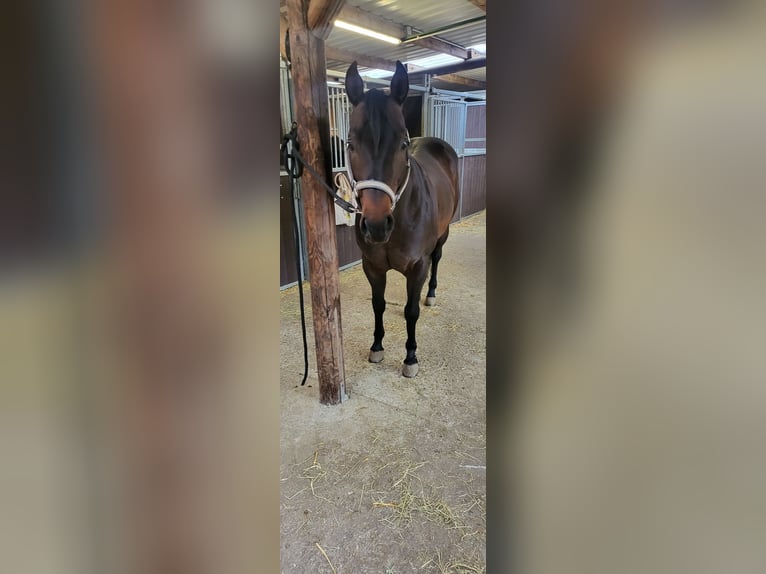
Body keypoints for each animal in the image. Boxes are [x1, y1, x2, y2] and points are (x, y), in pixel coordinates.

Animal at [344, 60, 459, 377]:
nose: (375, 225)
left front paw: (410, 357)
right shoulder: (372, 266)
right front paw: (376, 347)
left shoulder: (418, 266)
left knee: (437, 259)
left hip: (443, 235)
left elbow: (411, 311)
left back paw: (430, 294)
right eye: (350, 143)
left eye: (402, 144)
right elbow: (378, 304)